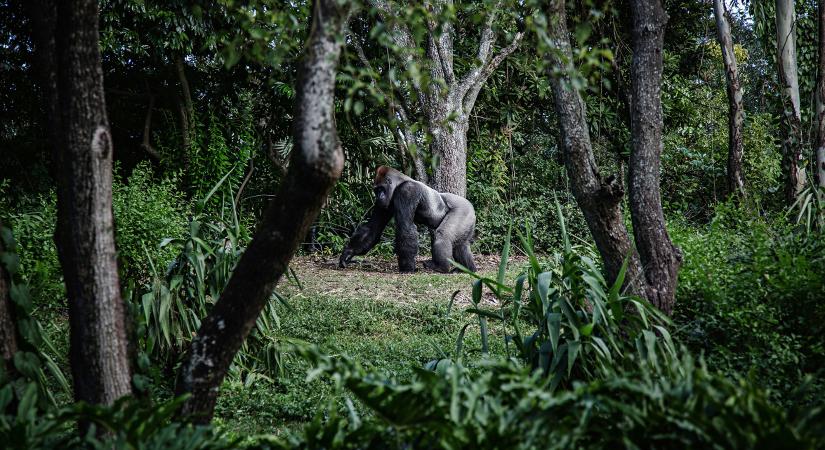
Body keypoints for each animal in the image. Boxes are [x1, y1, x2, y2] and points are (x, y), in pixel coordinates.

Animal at [336, 165, 476, 270]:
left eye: (381, 189)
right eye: (376, 190)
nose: (378, 196)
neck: (399, 182)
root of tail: (471, 206)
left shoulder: (406, 191)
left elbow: (405, 227)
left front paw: (407, 267)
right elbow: (372, 228)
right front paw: (348, 253)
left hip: (463, 209)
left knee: (443, 235)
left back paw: (441, 267)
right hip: (468, 217)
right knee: (461, 244)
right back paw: (467, 269)